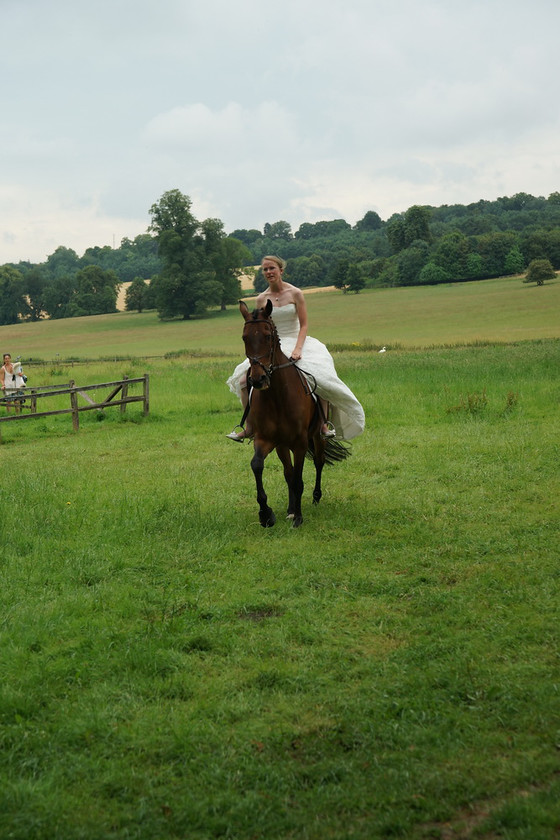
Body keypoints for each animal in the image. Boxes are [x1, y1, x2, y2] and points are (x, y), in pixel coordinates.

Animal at [238, 298, 348, 528]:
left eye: (268, 336)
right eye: (244, 337)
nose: (258, 379)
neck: (278, 397)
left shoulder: (300, 442)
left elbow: (298, 478)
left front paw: (298, 517)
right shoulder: (267, 439)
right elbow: (258, 466)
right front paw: (266, 514)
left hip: (316, 437)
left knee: (319, 462)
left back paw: (315, 498)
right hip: (282, 444)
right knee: (288, 472)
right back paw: (290, 508)